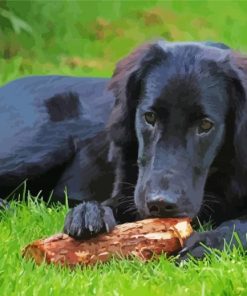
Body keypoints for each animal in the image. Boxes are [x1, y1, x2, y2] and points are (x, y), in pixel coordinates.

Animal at [0, 40, 247, 260]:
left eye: (205, 125)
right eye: (150, 117)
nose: (160, 204)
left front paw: (210, 242)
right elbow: (113, 204)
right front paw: (89, 213)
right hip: (43, 145)